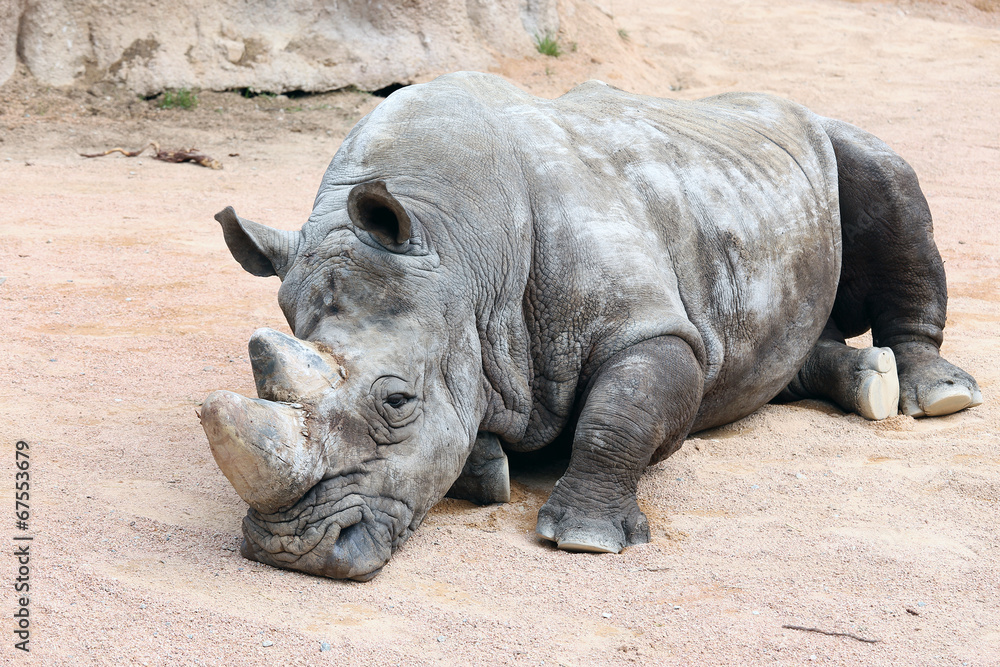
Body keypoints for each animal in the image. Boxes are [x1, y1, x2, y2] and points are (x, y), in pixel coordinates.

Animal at [200, 72, 982, 581]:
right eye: (258, 371)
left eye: (398, 402)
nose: (295, 552)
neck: (456, 249)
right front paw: (489, 463)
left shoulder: (657, 328)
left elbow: (623, 410)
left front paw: (587, 540)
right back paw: (868, 382)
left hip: (826, 135)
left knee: (885, 172)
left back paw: (939, 396)